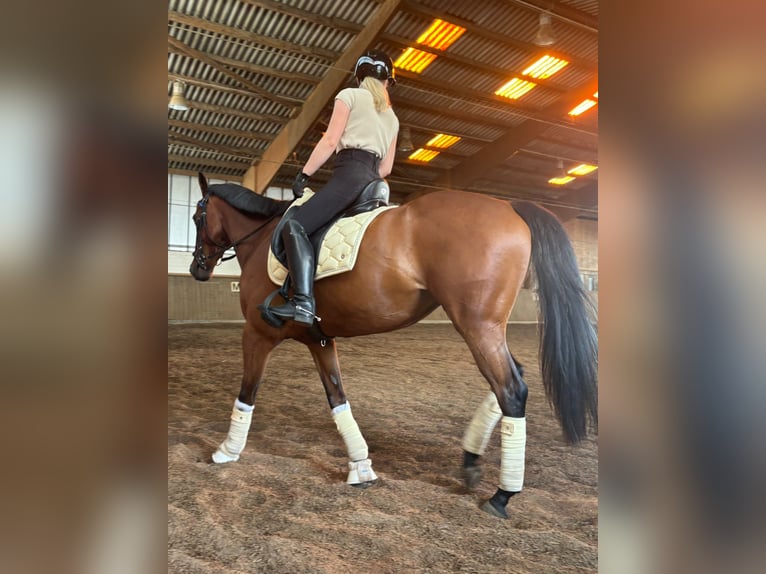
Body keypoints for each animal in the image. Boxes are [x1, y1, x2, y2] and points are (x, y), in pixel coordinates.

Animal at [189, 172, 597, 519]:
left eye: (197, 217)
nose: (197, 270)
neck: (262, 239)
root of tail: (508, 206)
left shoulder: (257, 334)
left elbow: (247, 392)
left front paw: (227, 450)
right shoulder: (319, 338)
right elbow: (337, 398)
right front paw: (360, 466)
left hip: (478, 325)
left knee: (511, 388)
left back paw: (502, 495)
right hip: (487, 326)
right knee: (510, 381)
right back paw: (470, 462)